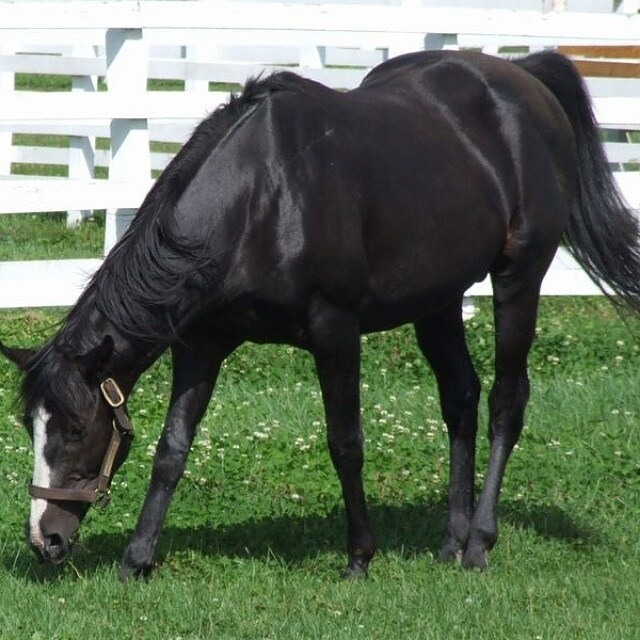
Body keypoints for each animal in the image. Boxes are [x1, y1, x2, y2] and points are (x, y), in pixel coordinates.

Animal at [2, 49, 640, 581]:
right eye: (30, 426)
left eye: (77, 428)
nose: (45, 541)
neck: (262, 197)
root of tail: (524, 77)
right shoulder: (201, 345)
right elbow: (171, 450)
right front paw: (137, 559)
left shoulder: (336, 332)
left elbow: (345, 442)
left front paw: (360, 556)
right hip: (437, 301)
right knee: (460, 397)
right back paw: (451, 541)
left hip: (518, 281)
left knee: (507, 401)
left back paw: (479, 543)